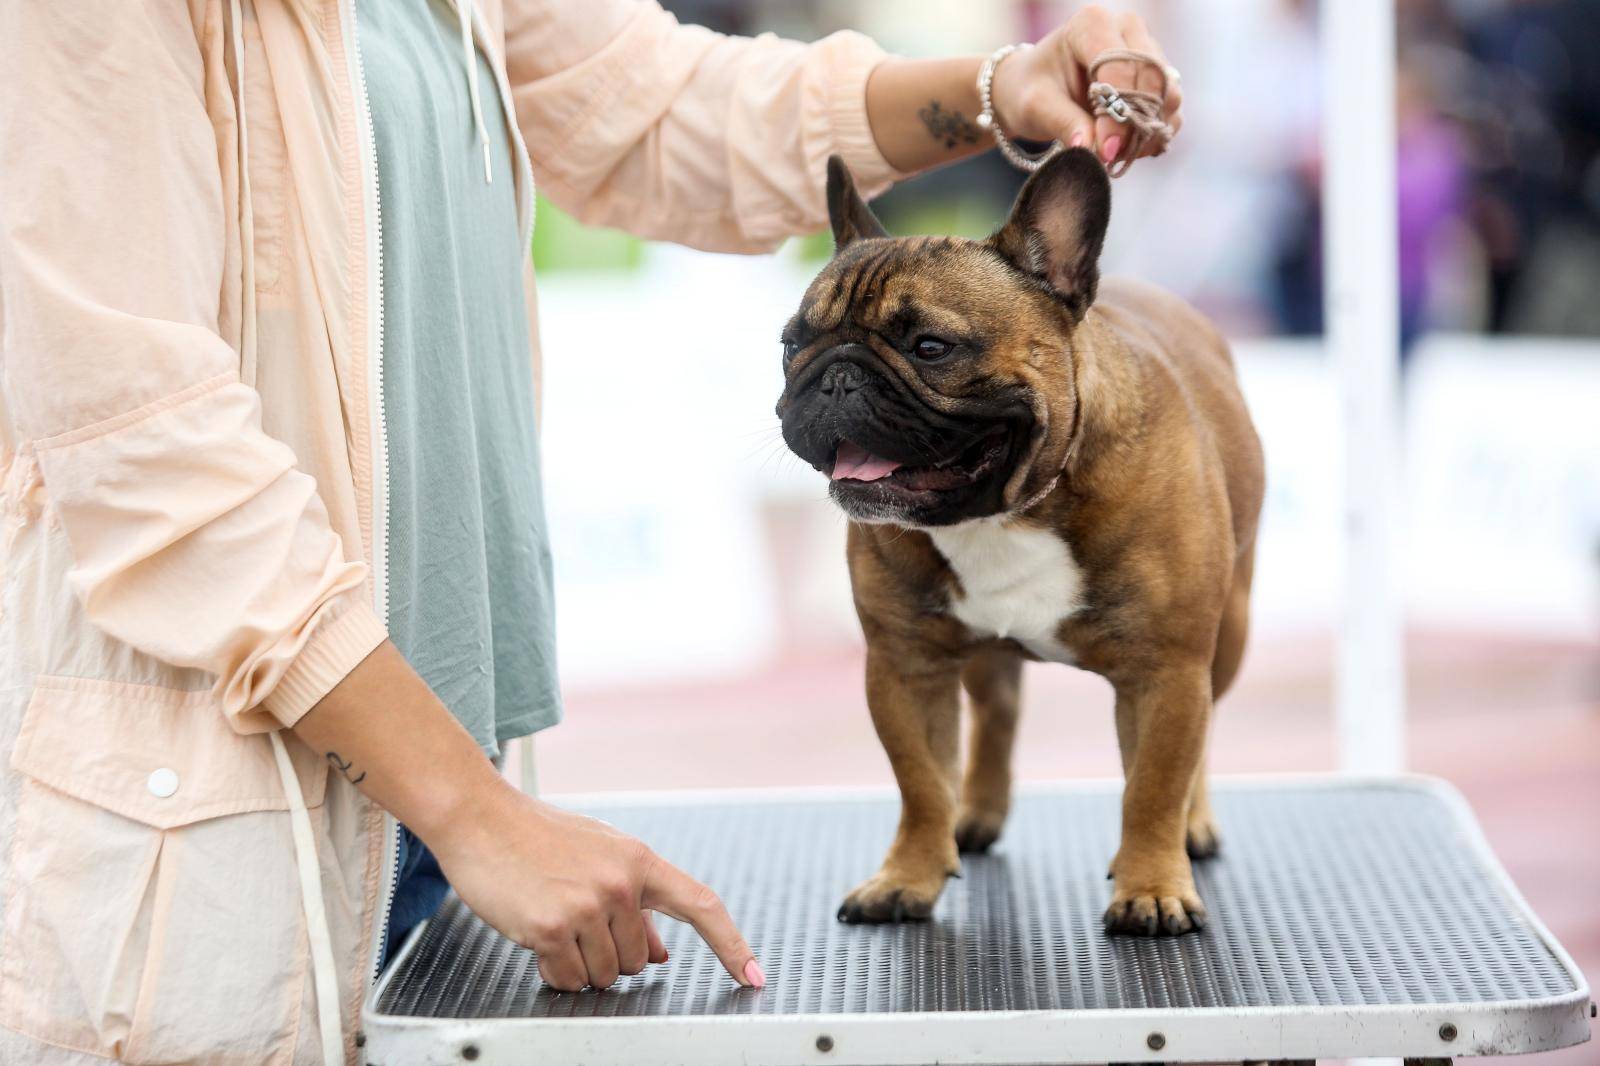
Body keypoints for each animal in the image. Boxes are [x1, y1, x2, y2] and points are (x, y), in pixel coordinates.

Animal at [774, 147, 1260, 928]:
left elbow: (1153, 783)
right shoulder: (906, 666)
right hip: (981, 653)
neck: (1008, 510)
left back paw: (1194, 824)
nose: (835, 376)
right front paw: (908, 876)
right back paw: (974, 815)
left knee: (1205, 729)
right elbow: (920, 780)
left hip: (1229, 634)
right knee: (996, 718)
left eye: (931, 347)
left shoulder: (1167, 670)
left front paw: (1152, 886)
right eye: (790, 344)